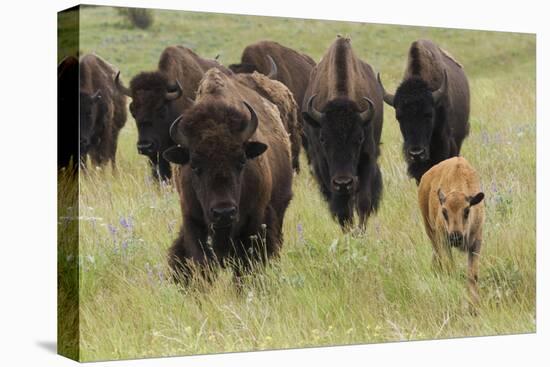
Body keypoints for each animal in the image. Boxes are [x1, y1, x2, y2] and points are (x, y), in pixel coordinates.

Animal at [302, 35, 384, 230]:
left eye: (359, 138)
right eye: (323, 139)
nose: (343, 182)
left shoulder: (367, 157)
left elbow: (363, 201)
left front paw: (360, 231)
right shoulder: (323, 165)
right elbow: (341, 208)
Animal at [420, 157, 486, 310]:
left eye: (467, 210)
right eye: (444, 212)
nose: (456, 237)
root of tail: (425, 177)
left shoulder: (476, 243)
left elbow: (472, 275)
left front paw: (474, 307)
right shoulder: (444, 241)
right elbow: (451, 269)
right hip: (431, 232)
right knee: (438, 256)